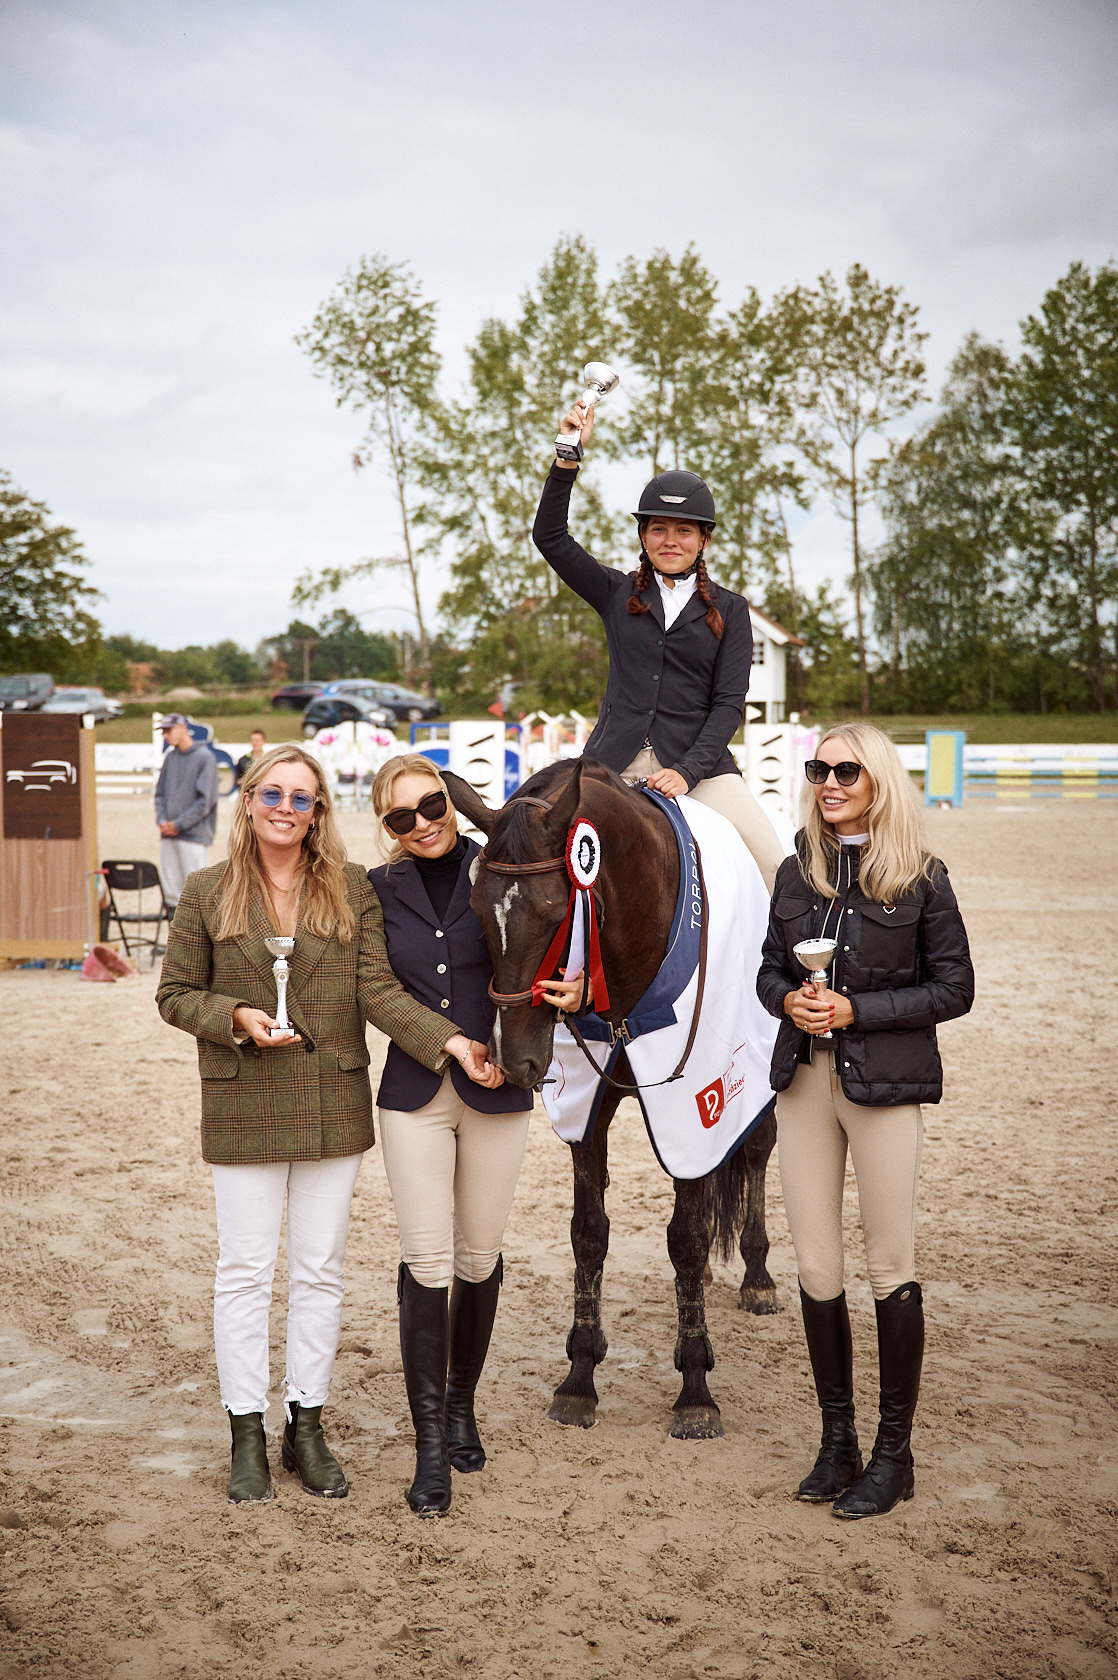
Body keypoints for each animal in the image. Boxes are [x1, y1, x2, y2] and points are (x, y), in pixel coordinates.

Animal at [443, 762, 776, 1444]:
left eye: (554, 912)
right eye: (477, 909)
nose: (513, 1062)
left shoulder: (692, 1106)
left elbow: (688, 1236)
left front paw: (695, 1391)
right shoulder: (587, 1110)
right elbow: (588, 1233)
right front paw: (579, 1378)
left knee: (755, 1149)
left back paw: (757, 1277)